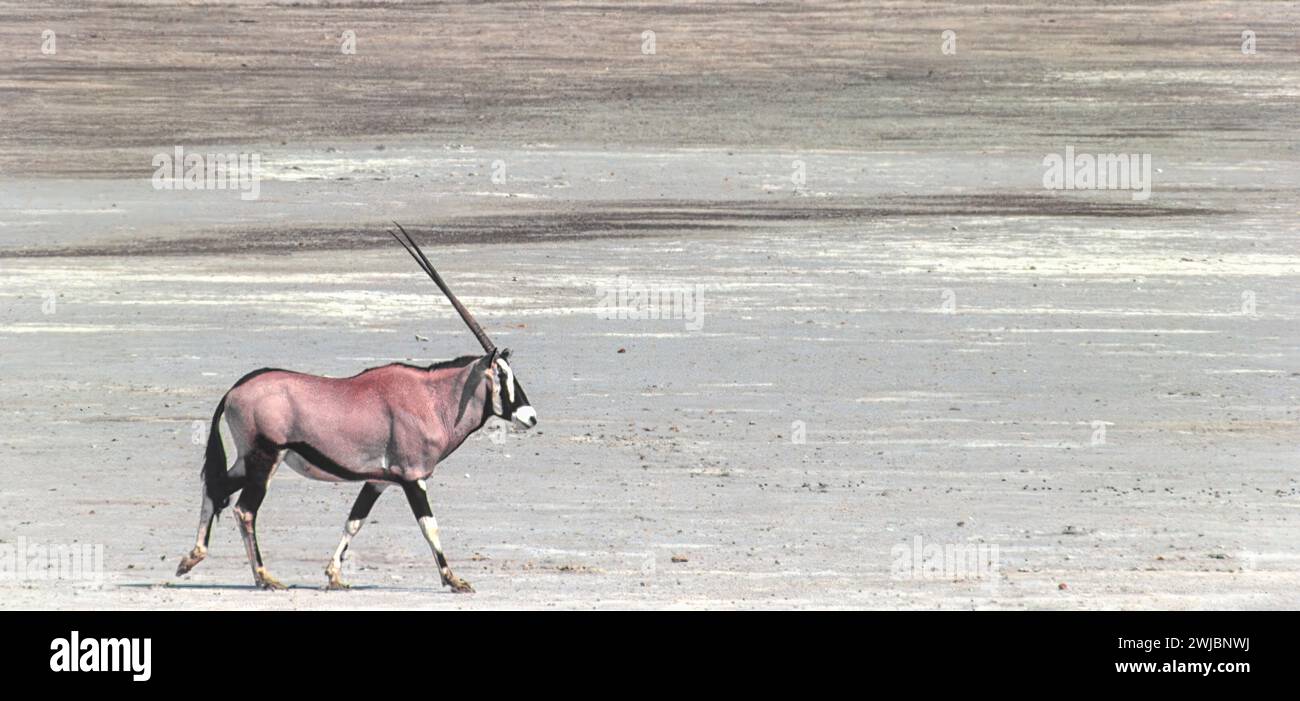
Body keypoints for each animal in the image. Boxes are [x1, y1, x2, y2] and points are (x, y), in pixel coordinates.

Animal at [175, 224, 535, 593]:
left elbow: (354, 522)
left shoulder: (377, 480)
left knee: (216, 486)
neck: (433, 398)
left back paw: (192, 559)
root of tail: (234, 390)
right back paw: (264, 576)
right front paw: (454, 579)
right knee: (244, 510)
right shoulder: (413, 477)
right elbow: (429, 525)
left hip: (251, 459)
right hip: (265, 458)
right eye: (502, 374)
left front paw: (334, 574)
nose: (530, 417)